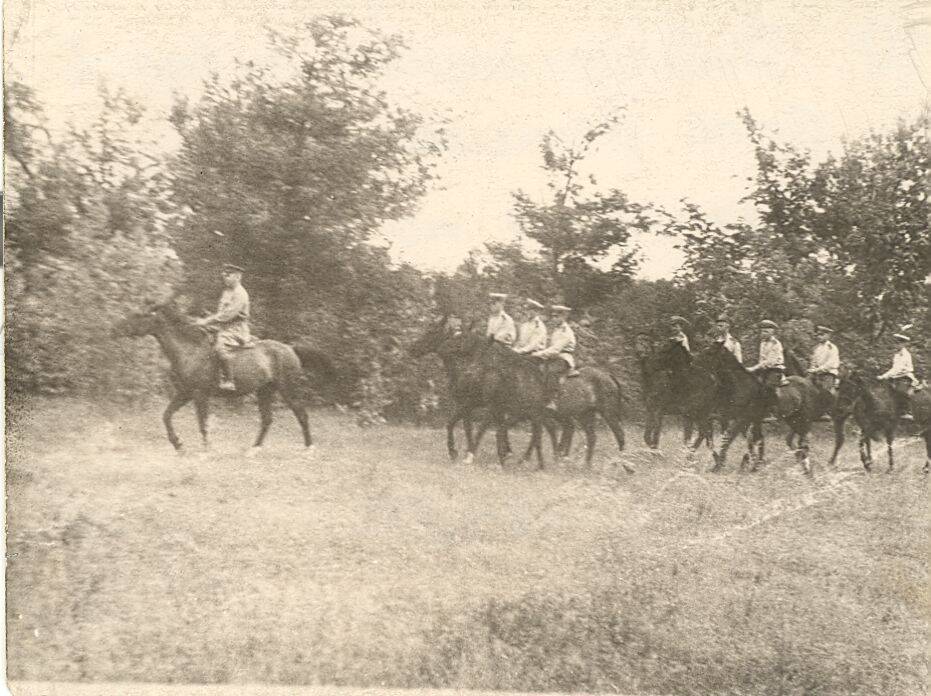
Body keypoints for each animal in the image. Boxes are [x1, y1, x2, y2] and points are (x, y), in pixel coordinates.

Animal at [114, 300, 336, 454]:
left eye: (139, 315)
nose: (115, 329)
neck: (190, 351)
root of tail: (291, 348)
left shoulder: (200, 394)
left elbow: (202, 422)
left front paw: (206, 450)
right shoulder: (185, 393)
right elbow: (166, 416)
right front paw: (178, 445)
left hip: (288, 389)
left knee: (301, 415)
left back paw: (308, 449)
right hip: (265, 391)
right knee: (267, 420)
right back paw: (253, 450)